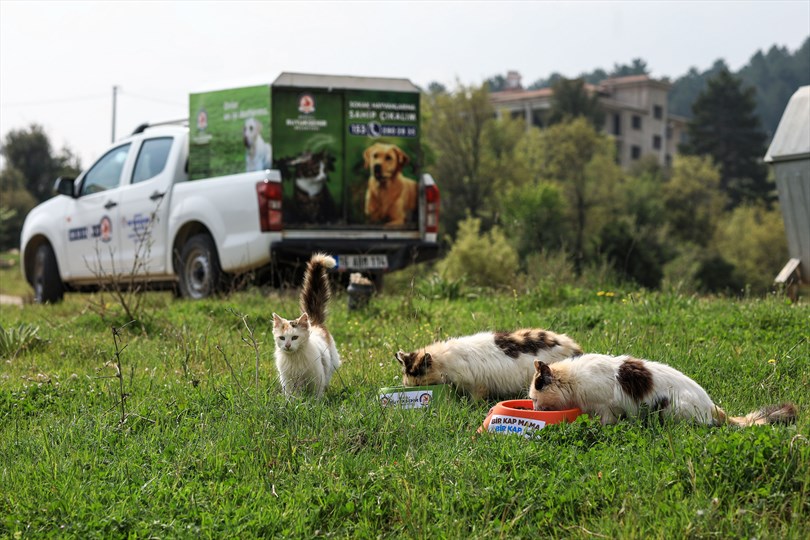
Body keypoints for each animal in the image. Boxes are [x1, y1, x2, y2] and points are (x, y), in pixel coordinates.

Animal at [274, 253, 340, 396]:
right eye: (282, 338)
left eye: (295, 337)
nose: (287, 345)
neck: (295, 359)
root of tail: (313, 322)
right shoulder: (288, 381)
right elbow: (292, 397)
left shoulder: (316, 378)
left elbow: (316, 396)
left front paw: (314, 402)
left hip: (331, 365)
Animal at [524, 352, 796, 428]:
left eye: (534, 398)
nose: (534, 407)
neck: (573, 382)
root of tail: (713, 407)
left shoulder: (606, 408)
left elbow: (605, 421)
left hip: (671, 409)